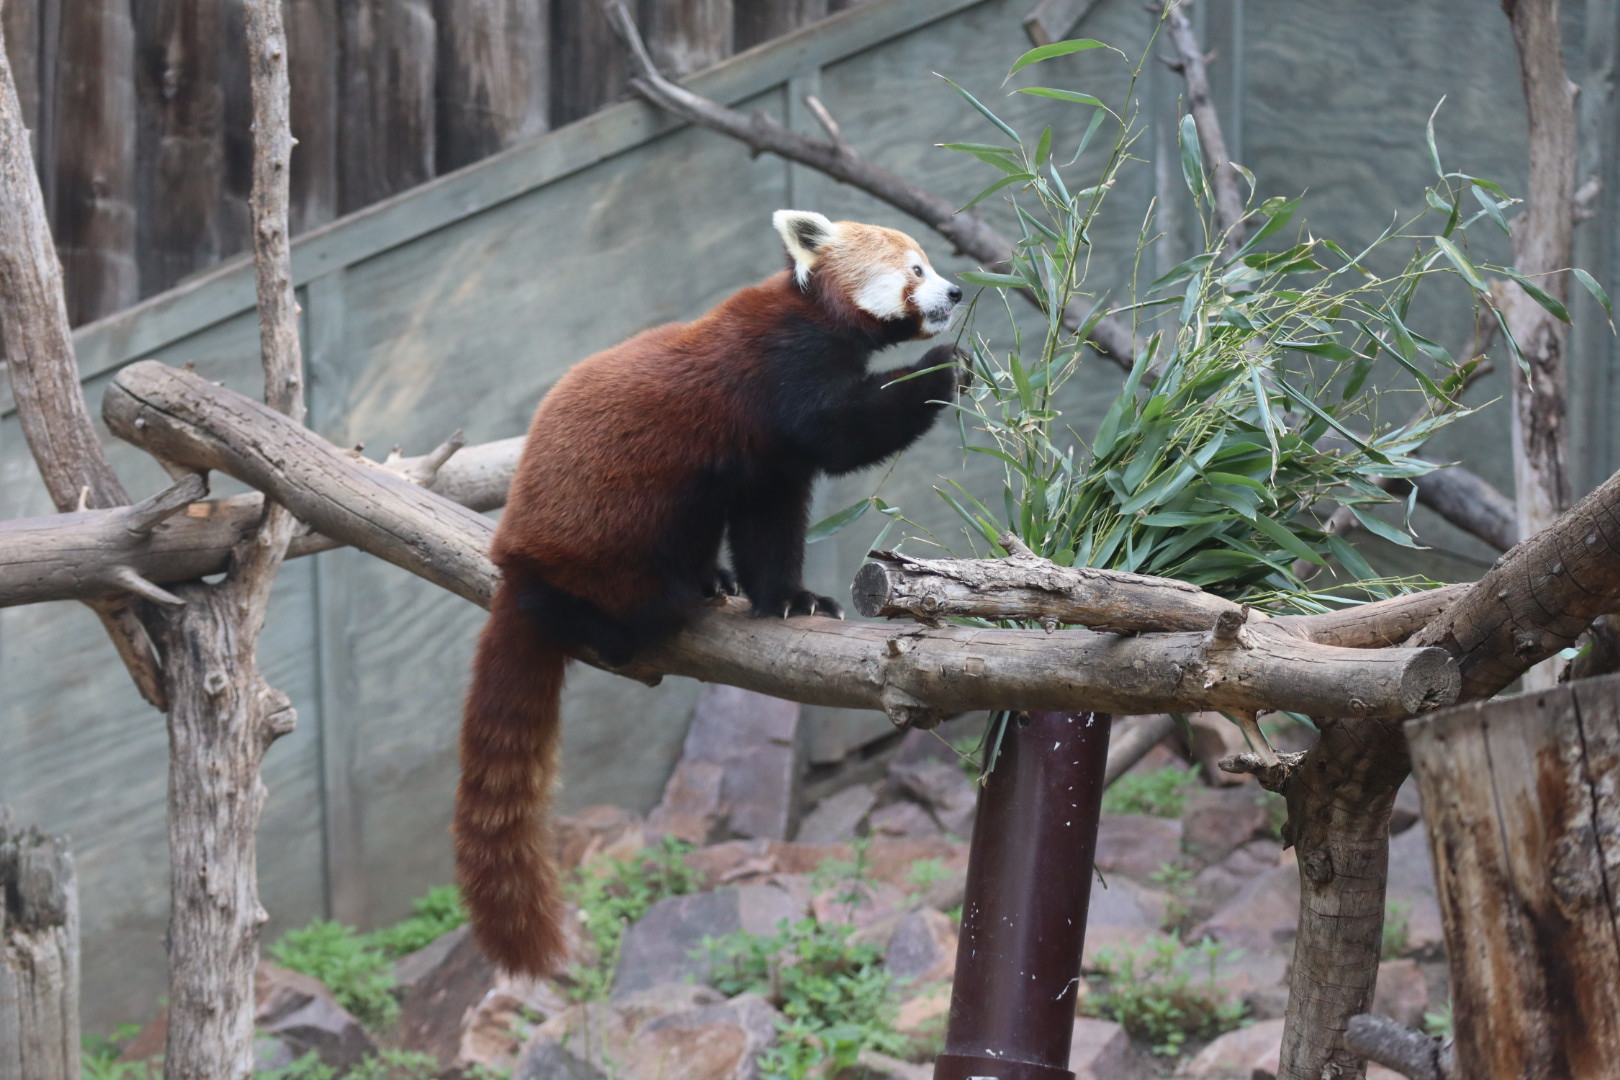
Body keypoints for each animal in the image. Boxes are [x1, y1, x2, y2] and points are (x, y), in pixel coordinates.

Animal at [456, 210, 965, 975]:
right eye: (916, 269)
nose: (957, 292)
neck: (816, 314)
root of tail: (515, 564)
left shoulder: (769, 459)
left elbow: (770, 524)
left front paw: (787, 599)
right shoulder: (784, 370)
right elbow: (841, 434)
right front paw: (945, 368)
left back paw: (709, 582)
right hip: (608, 539)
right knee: (616, 598)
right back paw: (612, 618)